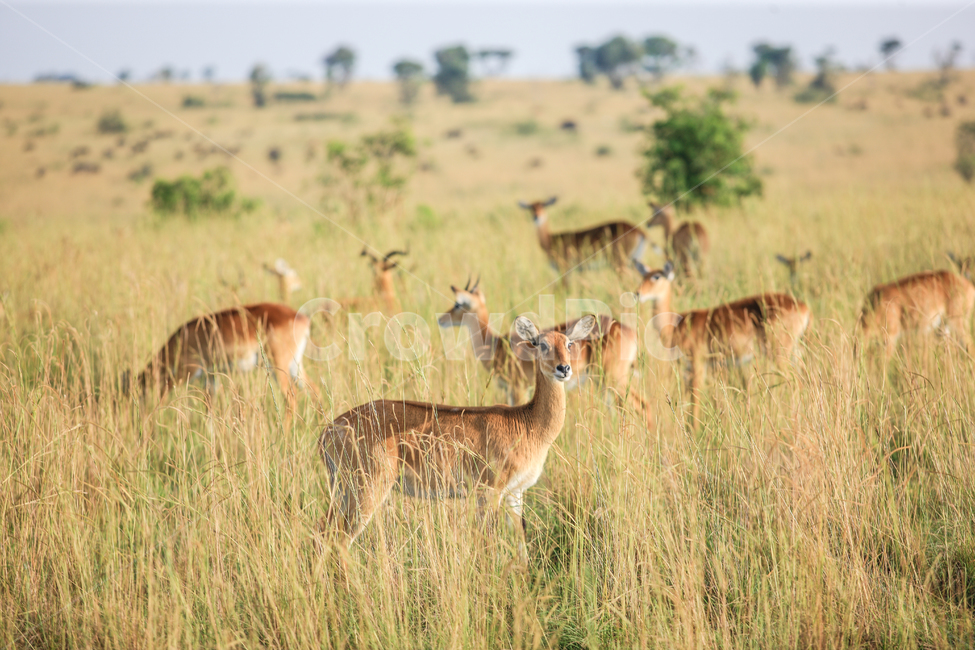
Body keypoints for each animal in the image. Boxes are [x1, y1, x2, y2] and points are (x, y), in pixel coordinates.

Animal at [128, 303, 317, 414]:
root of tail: (303, 318)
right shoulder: (209, 377)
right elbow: (208, 411)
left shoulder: (186, 372)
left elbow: (161, 398)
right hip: (294, 366)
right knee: (314, 391)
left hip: (278, 366)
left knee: (291, 399)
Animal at [319, 315, 596, 556]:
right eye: (541, 343)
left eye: (569, 343)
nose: (564, 368)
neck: (528, 423)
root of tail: (329, 430)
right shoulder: (488, 492)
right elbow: (487, 544)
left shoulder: (515, 494)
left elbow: (521, 547)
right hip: (367, 489)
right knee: (339, 541)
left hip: (343, 492)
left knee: (323, 534)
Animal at [437, 277, 652, 426]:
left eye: (458, 304)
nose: (441, 319)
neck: (495, 345)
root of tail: (629, 331)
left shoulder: (518, 388)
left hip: (613, 380)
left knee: (642, 406)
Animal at [518, 197, 648, 277]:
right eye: (530, 208)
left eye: (543, 206)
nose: (536, 217)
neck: (551, 240)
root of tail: (638, 230)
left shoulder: (565, 269)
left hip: (620, 264)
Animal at [635, 260, 811, 425]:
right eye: (643, 276)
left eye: (657, 277)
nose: (638, 293)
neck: (675, 323)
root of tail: (803, 306)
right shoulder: (689, 368)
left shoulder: (698, 364)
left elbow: (696, 400)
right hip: (795, 351)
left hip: (779, 353)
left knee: (795, 382)